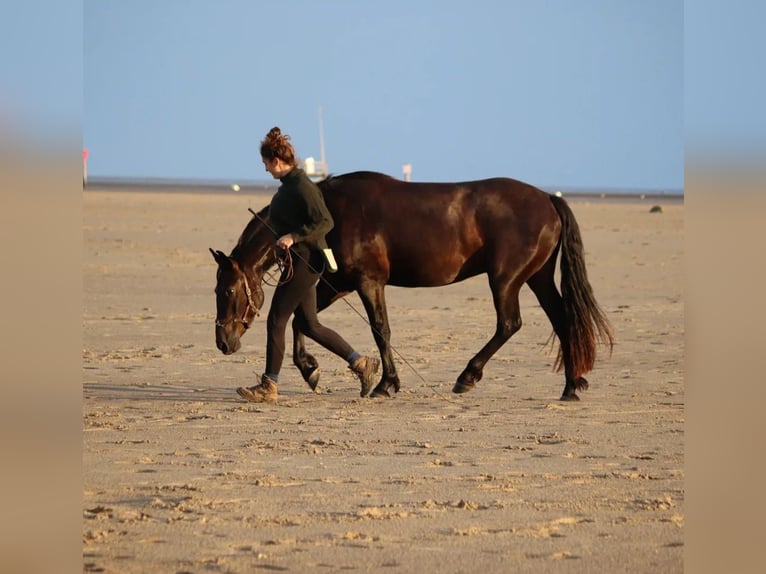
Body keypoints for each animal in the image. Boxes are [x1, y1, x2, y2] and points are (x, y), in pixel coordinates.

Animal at [212, 173, 616, 402]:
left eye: (227, 291)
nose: (223, 342)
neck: (331, 213)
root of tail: (548, 198)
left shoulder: (368, 282)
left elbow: (380, 330)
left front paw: (385, 383)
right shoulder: (336, 283)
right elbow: (302, 321)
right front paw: (311, 370)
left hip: (505, 279)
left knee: (509, 324)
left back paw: (467, 377)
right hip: (537, 277)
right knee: (561, 321)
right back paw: (571, 386)